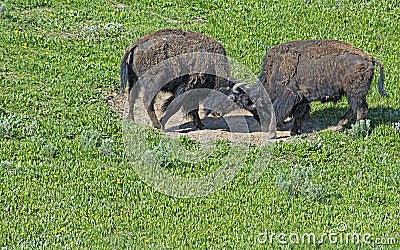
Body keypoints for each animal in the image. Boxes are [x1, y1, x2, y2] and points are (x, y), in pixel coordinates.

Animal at [120, 28, 255, 130]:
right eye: (231, 97)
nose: (217, 114)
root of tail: (137, 44)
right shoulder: (187, 89)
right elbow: (174, 106)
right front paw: (163, 123)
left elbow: (193, 110)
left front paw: (201, 125)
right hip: (153, 85)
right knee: (147, 101)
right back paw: (157, 124)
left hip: (134, 80)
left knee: (132, 97)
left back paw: (131, 120)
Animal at [253, 39, 388, 136]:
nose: (261, 124)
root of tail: (369, 57)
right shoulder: (301, 99)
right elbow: (299, 115)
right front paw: (294, 132)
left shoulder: (290, 96)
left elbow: (279, 112)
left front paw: (274, 134)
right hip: (353, 93)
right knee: (355, 108)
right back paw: (339, 125)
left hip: (354, 93)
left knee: (361, 109)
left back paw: (357, 130)